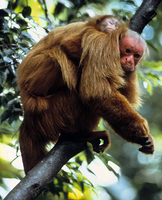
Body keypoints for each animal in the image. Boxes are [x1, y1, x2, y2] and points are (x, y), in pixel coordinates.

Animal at [17, 14, 154, 173]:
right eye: (127, 51)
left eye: (136, 55)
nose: (130, 61)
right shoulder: (101, 43)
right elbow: (97, 93)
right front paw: (139, 126)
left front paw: (141, 138)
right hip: (51, 110)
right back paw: (79, 135)